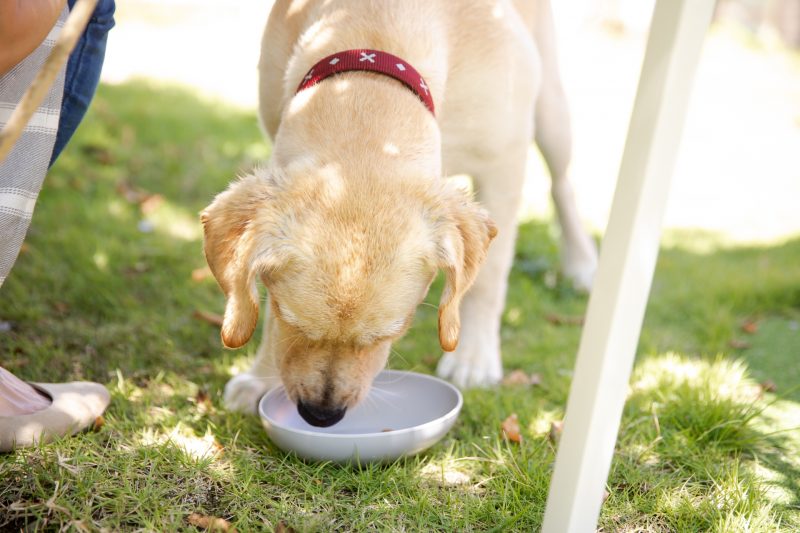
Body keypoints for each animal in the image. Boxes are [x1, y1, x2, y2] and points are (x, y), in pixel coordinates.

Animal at [203, 0, 596, 424]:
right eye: (288, 316)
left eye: (391, 332)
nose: (321, 416)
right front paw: (260, 377)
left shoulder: (504, 163)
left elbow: (488, 280)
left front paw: (474, 357)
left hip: (551, 112)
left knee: (562, 185)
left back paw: (581, 263)